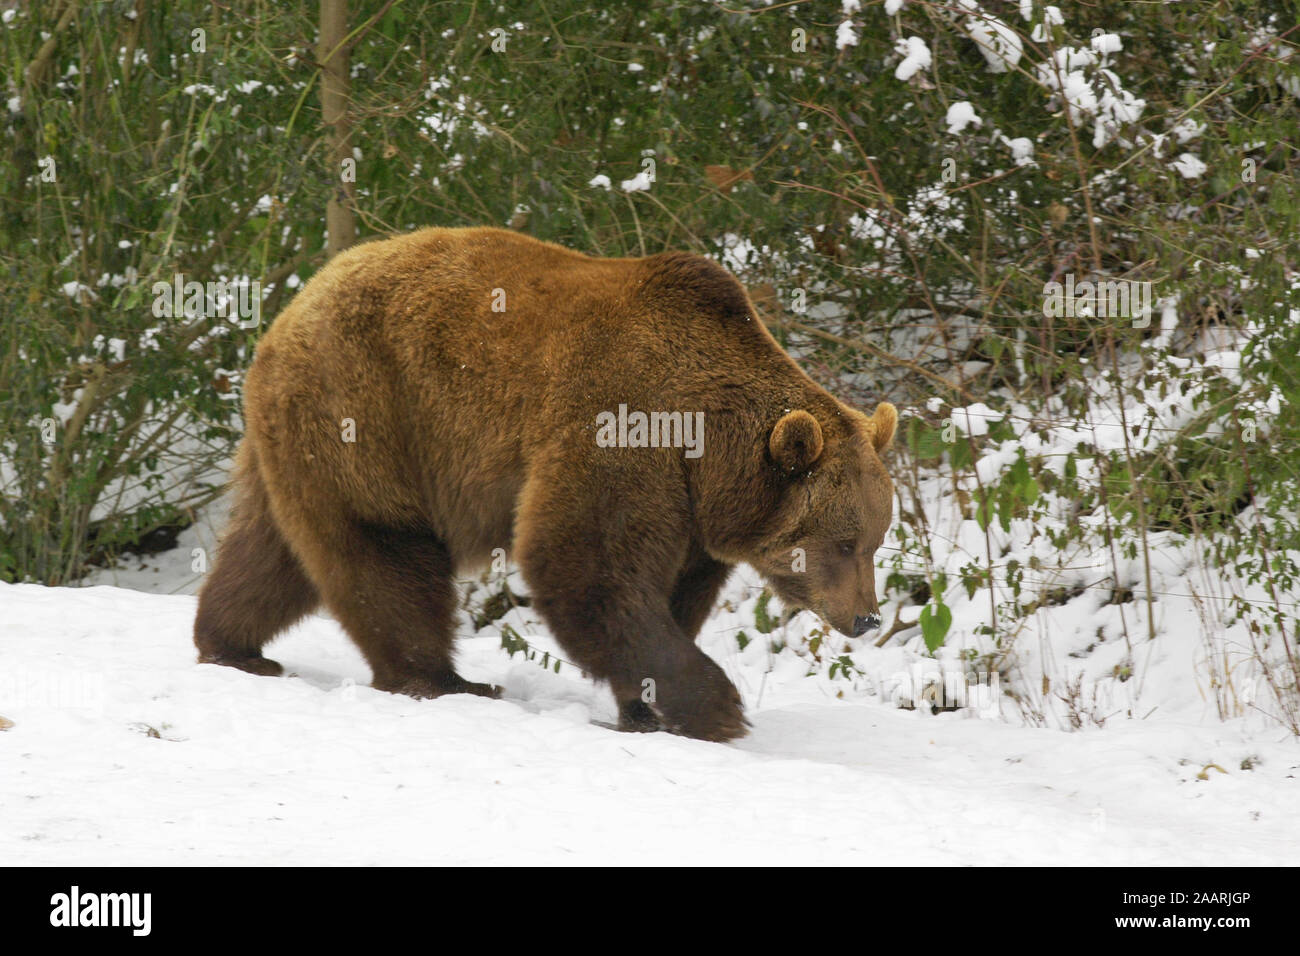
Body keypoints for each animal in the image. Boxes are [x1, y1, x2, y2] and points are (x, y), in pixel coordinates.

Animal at [192, 227, 899, 743]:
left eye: (875, 541)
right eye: (843, 542)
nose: (866, 616)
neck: (707, 448)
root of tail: (291, 307)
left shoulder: (694, 511)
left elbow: (672, 592)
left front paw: (648, 710)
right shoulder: (623, 429)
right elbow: (584, 563)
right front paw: (717, 707)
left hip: (299, 436)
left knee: (270, 550)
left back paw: (231, 645)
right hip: (369, 411)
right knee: (385, 548)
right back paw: (441, 679)